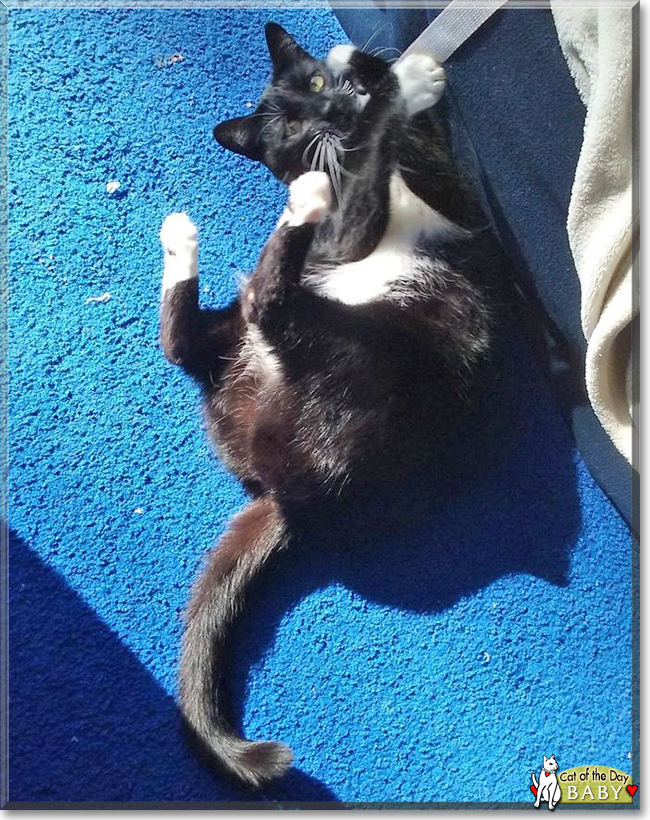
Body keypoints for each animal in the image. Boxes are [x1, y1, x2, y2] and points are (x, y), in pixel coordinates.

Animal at [159, 22, 498, 784]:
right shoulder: (358, 229)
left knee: (194, 340)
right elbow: (366, 177)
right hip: (354, 352)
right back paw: (281, 215)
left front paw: (373, 72)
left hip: (278, 358)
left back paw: (184, 243)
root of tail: (292, 495)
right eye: (287, 127)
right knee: (257, 304)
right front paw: (405, 85)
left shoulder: (448, 197)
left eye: (310, 87)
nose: (329, 110)